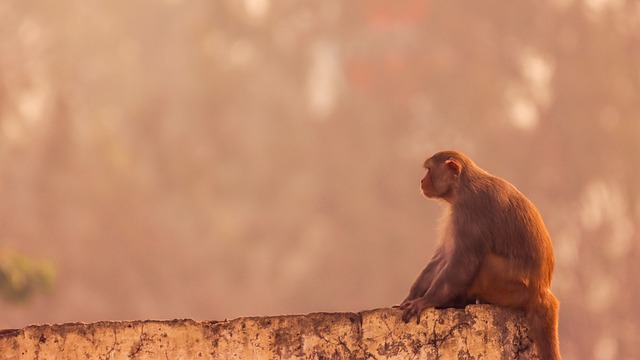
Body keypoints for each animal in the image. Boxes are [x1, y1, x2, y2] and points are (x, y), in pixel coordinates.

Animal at [400, 150, 560, 360]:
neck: (462, 186)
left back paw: (457, 301)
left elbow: (462, 261)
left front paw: (425, 301)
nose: (421, 181)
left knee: (485, 262)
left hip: (509, 287)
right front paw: (411, 297)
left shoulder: (470, 212)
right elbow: (443, 256)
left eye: (428, 170)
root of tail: (542, 291)